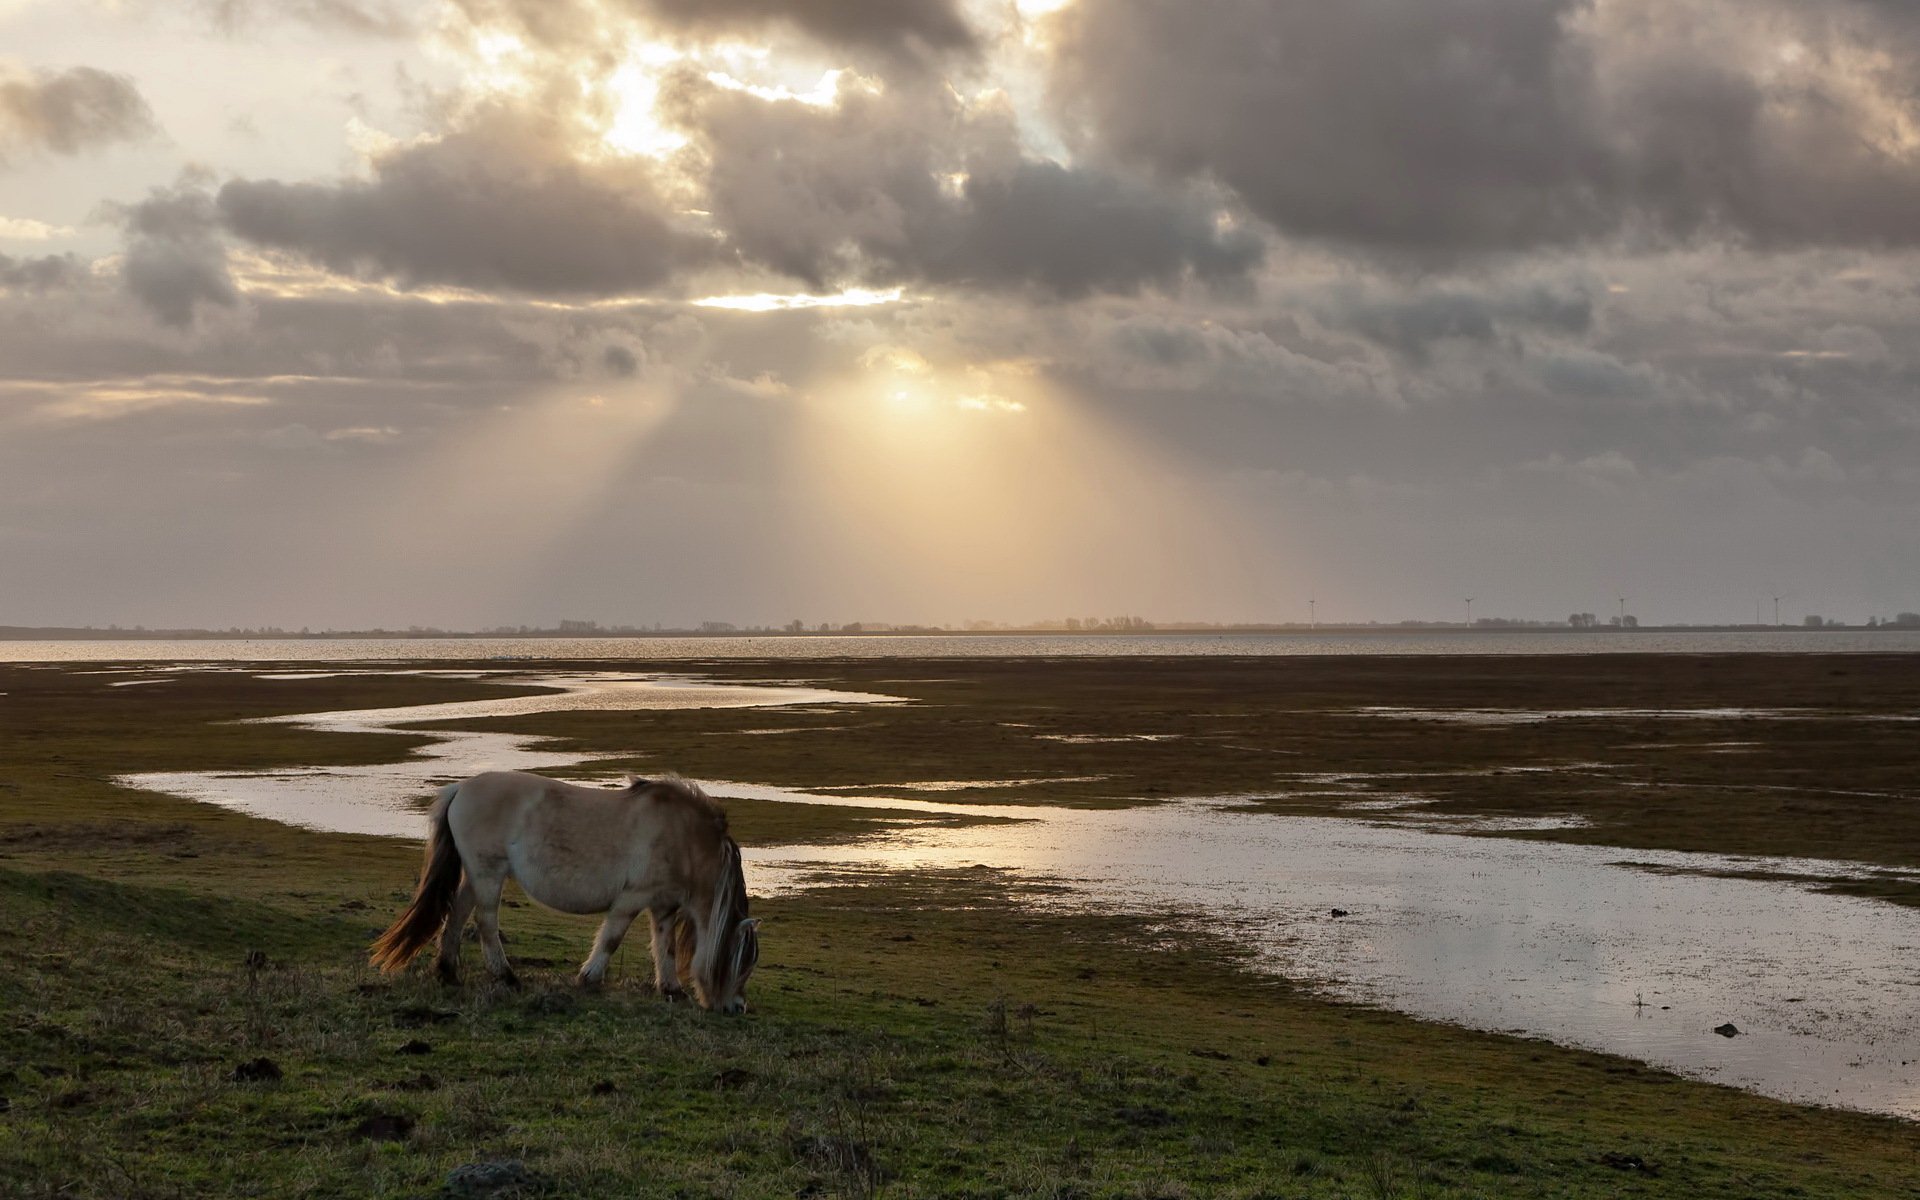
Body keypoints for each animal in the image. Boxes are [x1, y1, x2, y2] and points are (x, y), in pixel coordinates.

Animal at [369, 771, 760, 1014]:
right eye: (740, 963)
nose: (738, 1008)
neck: (683, 837)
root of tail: (460, 789)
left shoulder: (663, 907)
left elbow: (665, 948)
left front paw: (672, 991)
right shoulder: (631, 899)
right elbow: (611, 939)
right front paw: (588, 979)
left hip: (477, 875)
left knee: (459, 913)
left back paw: (448, 972)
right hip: (488, 873)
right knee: (485, 922)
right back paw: (506, 977)